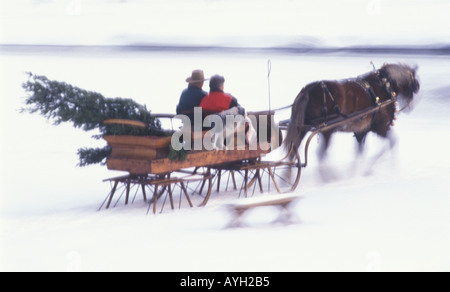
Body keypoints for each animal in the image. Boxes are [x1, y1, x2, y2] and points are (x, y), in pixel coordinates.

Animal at [286, 63, 420, 167]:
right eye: (413, 79)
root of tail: (307, 90)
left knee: (293, 151)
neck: (385, 86)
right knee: (320, 154)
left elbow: (360, 152)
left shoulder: (362, 131)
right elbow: (392, 142)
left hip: (303, 128)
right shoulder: (380, 127)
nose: (418, 86)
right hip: (327, 129)